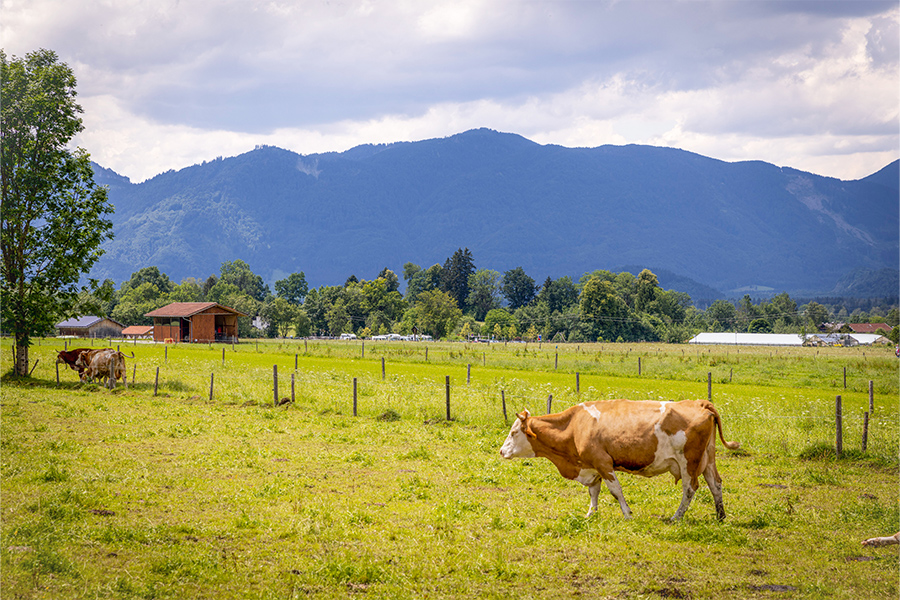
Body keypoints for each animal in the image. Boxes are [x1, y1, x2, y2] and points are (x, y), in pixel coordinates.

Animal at [500, 398, 740, 520]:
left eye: (513, 432)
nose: (502, 451)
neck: (575, 426)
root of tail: (700, 403)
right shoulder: (591, 466)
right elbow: (594, 492)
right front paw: (590, 514)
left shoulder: (603, 462)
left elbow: (616, 491)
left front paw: (627, 514)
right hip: (707, 459)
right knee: (715, 484)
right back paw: (720, 516)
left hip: (689, 462)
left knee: (690, 489)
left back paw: (676, 517)